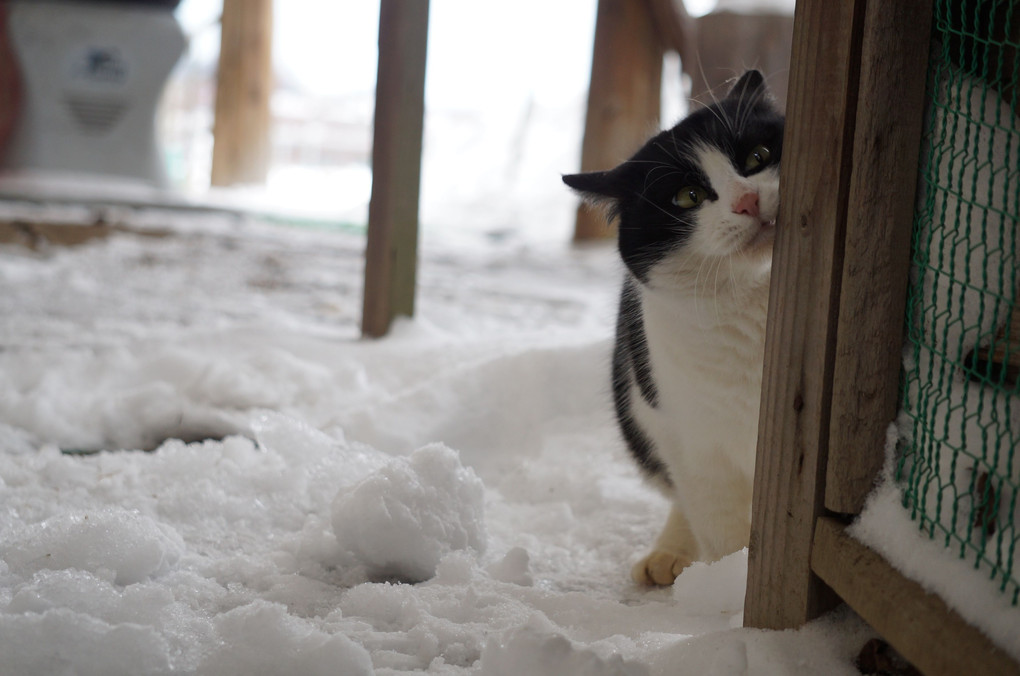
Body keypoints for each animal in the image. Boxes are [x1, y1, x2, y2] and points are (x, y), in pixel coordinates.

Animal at [567, 71, 779, 583]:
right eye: (688, 197)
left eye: (758, 157)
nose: (747, 200)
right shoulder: (698, 442)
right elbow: (723, 531)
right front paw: (729, 592)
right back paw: (669, 557)